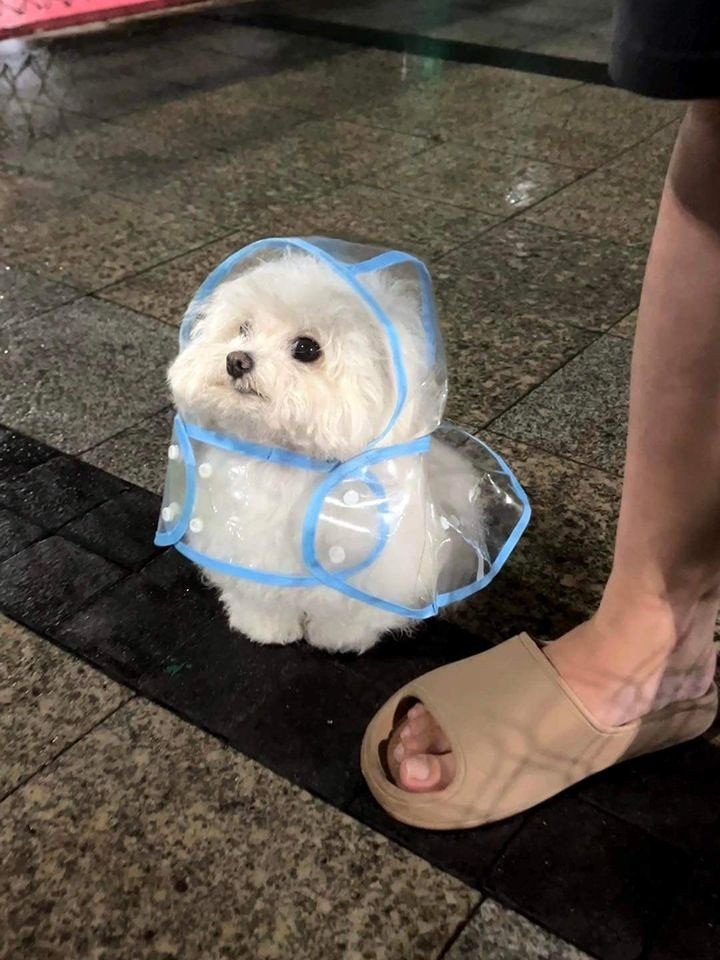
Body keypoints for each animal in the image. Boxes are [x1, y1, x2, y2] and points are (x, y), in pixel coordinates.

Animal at [167, 249, 484, 652]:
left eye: (306, 348)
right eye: (243, 329)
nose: (236, 360)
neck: (288, 461)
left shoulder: (373, 571)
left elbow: (351, 613)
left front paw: (337, 640)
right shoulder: (241, 545)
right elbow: (256, 594)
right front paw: (265, 628)